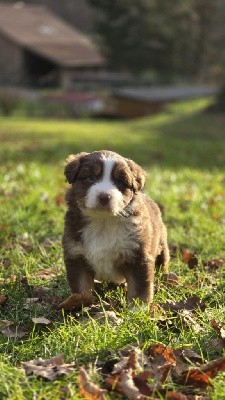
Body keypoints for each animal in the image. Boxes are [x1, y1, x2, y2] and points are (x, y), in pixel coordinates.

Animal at [61, 150, 169, 304]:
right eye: (90, 177)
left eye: (119, 181)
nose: (104, 197)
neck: (103, 222)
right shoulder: (76, 255)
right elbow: (82, 288)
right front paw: (77, 302)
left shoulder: (138, 255)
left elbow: (140, 287)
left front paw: (138, 306)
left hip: (161, 244)